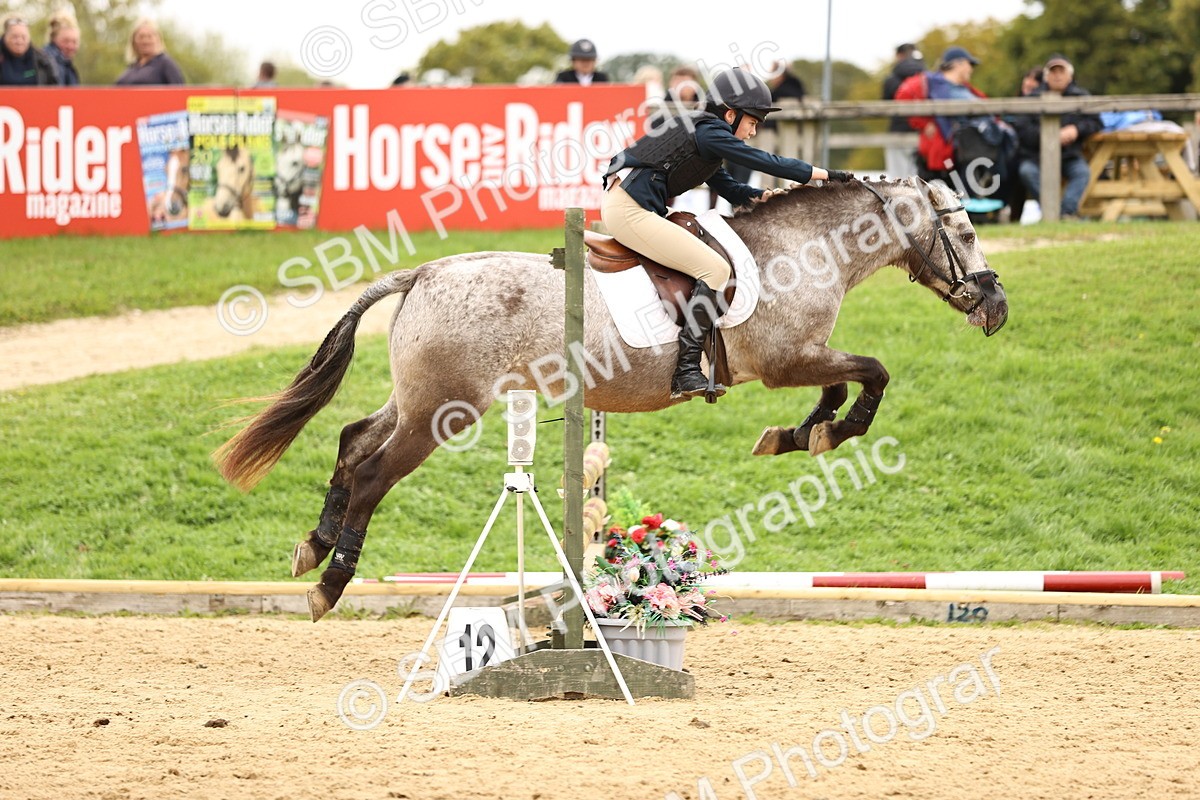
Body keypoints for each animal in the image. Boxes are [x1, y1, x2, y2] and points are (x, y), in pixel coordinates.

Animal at [214, 177, 1008, 621]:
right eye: (967, 231)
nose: (996, 309)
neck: (803, 248)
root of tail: (424, 273)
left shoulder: (796, 361)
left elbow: (842, 382)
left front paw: (801, 434)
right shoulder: (786, 360)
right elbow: (872, 374)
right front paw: (827, 431)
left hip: (418, 401)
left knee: (352, 441)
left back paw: (313, 544)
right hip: (445, 412)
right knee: (375, 473)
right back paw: (331, 583)